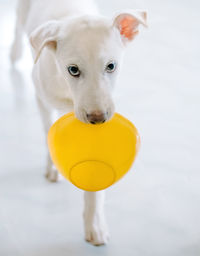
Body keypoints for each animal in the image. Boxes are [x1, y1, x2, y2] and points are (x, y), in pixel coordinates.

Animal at [10, 0, 147, 246]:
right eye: (73, 70)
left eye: (111, 66)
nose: (97, 118)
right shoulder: (42, 99)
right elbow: (48, 131)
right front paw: (52, 166)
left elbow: (95, 184)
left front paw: (95, 225)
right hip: (21, 12)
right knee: (17, 25)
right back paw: (14, 52)